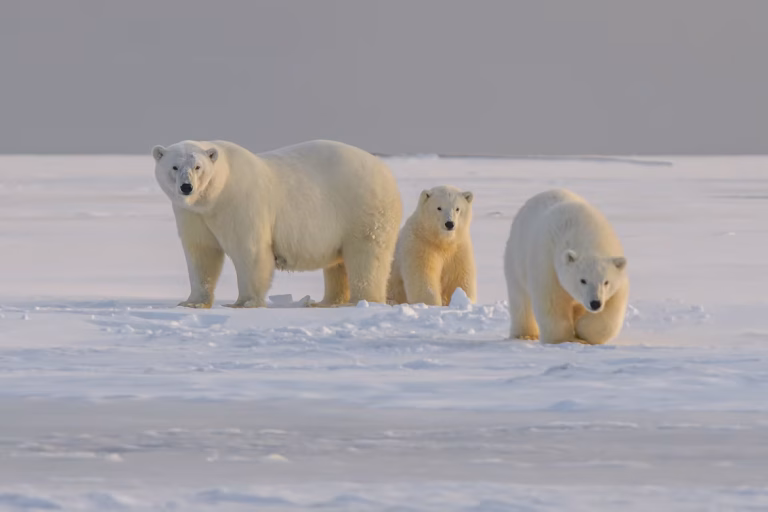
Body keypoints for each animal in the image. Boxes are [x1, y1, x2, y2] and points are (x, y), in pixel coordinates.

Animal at [152, 139, 402, 308]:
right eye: (174, 167)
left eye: (198, 167)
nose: (187, 187)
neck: (215, 196)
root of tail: (385, 171)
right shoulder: (193, 214)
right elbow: (201, 253)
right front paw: (192, 302)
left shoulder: (240, 203)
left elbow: (250, 251)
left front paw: (244, 302)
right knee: (338, 264)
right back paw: (326, 302)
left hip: (361, 208)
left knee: (366, 256)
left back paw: (362, 301)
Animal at [503, 189, 628, 345]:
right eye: (582, 280)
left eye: (606, 282)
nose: (595, 303)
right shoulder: (548, 263)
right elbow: (552, 302)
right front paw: (565, 339)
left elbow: (612, 308)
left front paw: (582, 331)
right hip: (516, 257)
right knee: (520, 299)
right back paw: (525, 335)